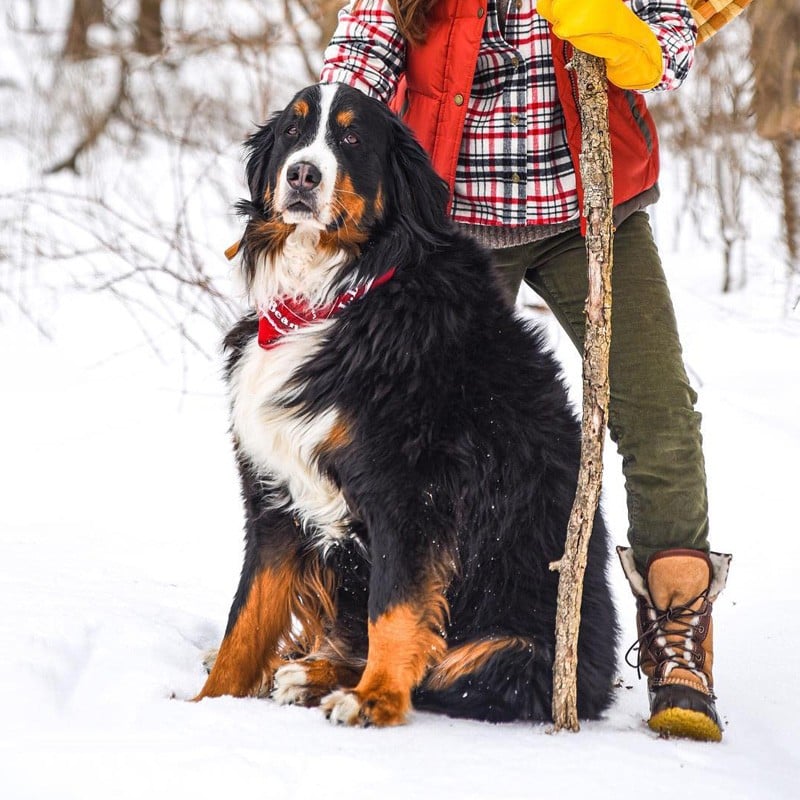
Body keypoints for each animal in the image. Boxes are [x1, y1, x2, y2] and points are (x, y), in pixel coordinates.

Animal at [195, 84, 620, 728]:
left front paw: (375, 700)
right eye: (294, 131)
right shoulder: (274, 496)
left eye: (351, 137)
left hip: (517, 653)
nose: (302, 174)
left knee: (444, 672)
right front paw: (205, 706)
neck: (336, 295)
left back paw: (325, 680)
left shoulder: (411, 490)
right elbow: (245, 620)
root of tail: (595, 688)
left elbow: (395, 611)